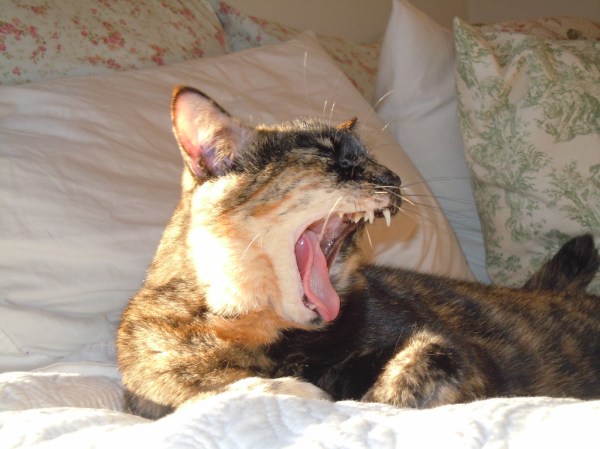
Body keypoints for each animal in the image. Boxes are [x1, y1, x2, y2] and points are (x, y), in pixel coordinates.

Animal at [117, 86, 600, 419]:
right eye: (332, 156)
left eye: (371, 158)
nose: (394, 177)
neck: (280, 335)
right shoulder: (149, 381)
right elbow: (212, 390)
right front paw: (296, 389)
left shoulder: (461, 352)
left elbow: (418, 366)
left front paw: (363, 399)